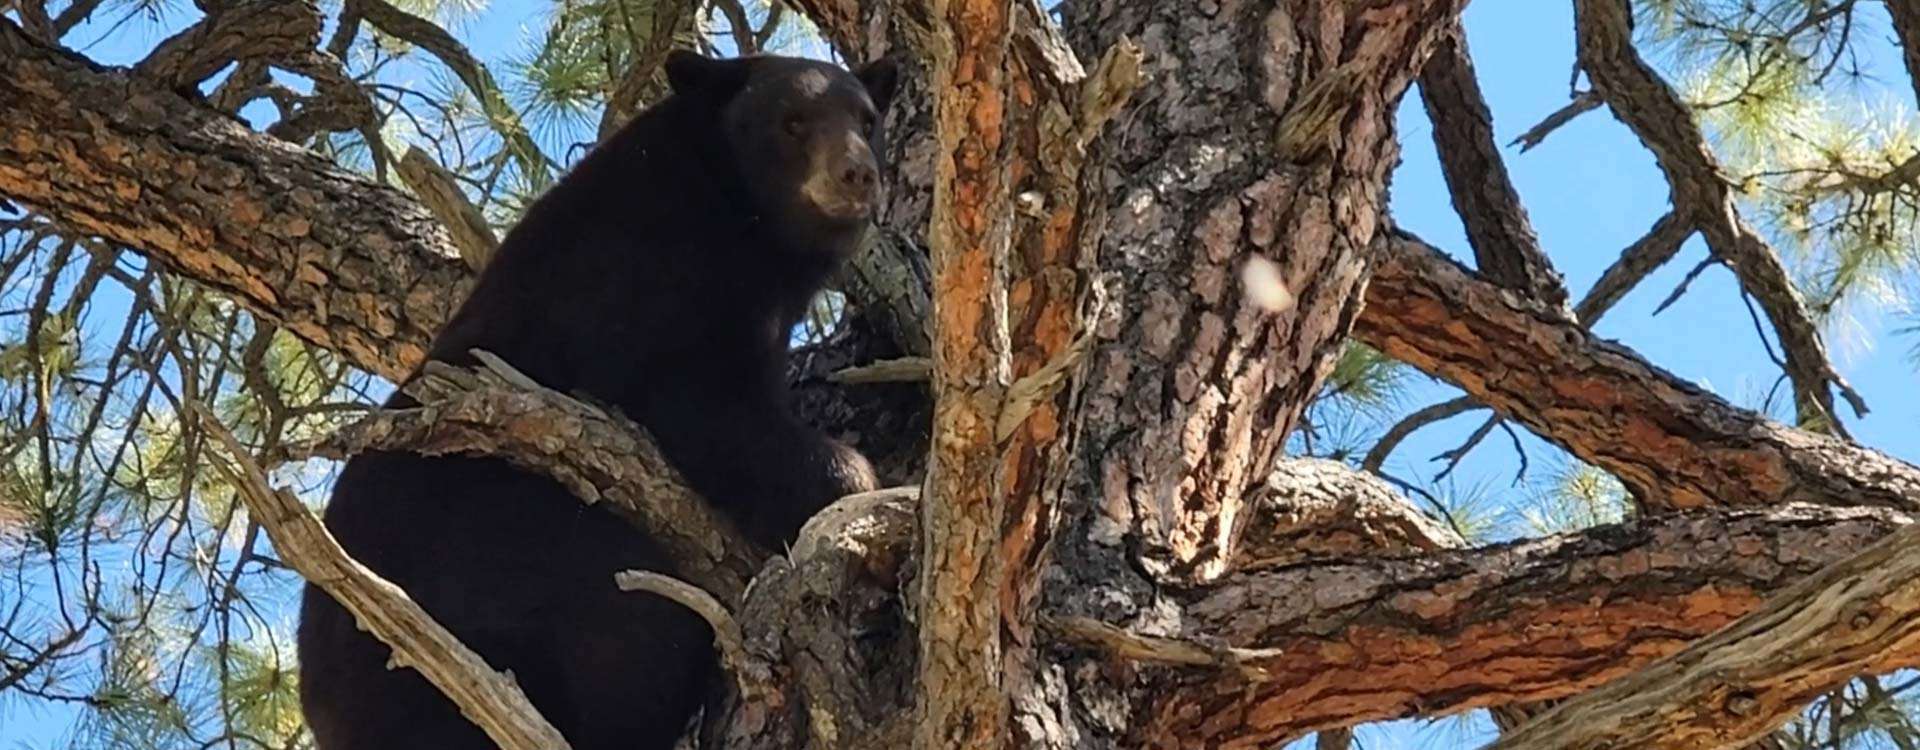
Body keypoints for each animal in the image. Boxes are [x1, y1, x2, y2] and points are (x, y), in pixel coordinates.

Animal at [295, 49, 894, 748]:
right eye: (793, 120)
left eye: (868, 119)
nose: (858, 173)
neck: (727, 205)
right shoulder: (646, 286)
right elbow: (710, 410)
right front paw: (852, 479)